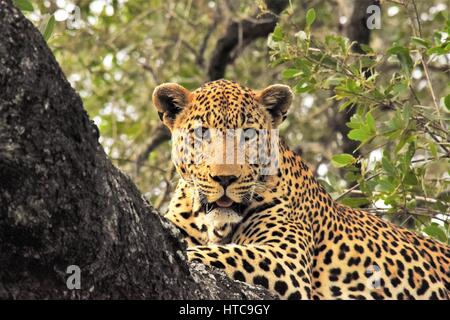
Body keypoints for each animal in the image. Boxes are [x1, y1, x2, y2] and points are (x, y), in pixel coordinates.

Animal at [152, 79, 450, 298]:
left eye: (248, 134)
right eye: (202, 133)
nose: (225, 179)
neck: (216, 225)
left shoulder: (286, 261)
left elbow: (217, 254)